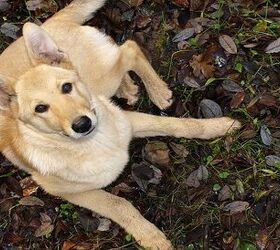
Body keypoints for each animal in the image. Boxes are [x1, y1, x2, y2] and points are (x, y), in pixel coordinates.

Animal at [0, 0, 241, 249]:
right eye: (40, 108)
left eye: (66, 87)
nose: (82, 124)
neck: (96, 142)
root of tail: (49, 22)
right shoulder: (73, 193)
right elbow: (120, 205)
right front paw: (151, 237)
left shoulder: (130, 120)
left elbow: (177, 125)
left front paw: (219, 126)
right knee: (124, 53)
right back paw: (130, 89)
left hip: (97, 80)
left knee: (129, 48)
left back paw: (156, 90)